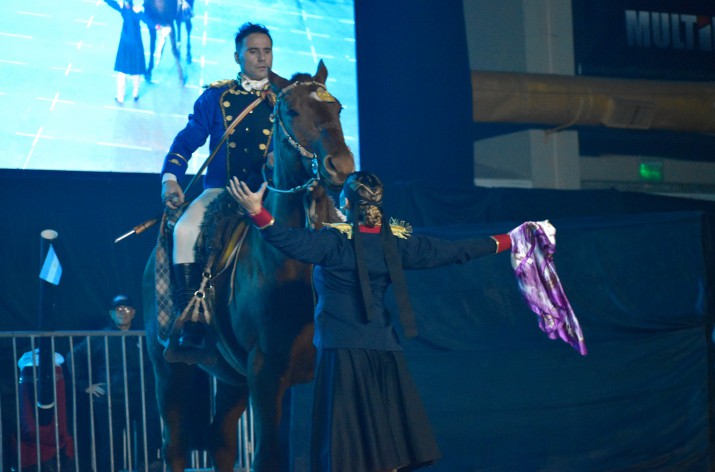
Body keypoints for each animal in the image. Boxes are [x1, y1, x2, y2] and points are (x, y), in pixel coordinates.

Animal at [144, 60, 356, 472]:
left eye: (338, 109)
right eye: (292, 111)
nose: (340, 166)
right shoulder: (266, 371)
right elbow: (268, 455)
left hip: (231, 376)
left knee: (221, 440)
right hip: (168, 367)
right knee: (175, 444)